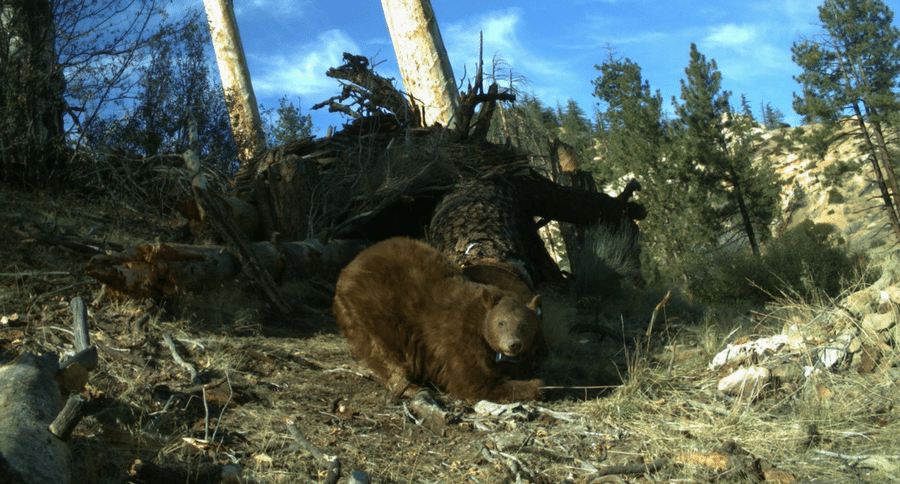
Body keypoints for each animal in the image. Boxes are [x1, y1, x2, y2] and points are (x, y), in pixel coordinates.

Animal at [333, 237, 544, 403]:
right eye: (501, 323)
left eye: (524, 325)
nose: (513, 344)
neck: (479, 318)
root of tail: (347, 268)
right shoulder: (458, 338)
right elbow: (475, 383)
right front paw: (536, 385)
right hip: (370, 307)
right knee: (383, 348)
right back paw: (408, 386)